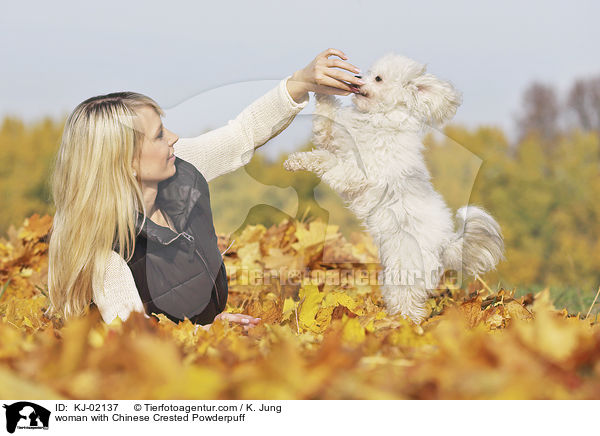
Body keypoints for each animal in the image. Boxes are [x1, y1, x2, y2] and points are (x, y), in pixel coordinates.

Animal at [284, 52, 504, 324]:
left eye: (378, 78)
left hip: (405, 269)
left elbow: (327, 160)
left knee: (408, 302)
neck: (380, 119)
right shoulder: (333, 137)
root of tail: (446, 243)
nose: (358, 77)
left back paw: (401, 325)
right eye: (368, 72)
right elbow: (326, 119)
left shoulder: (357, 171)